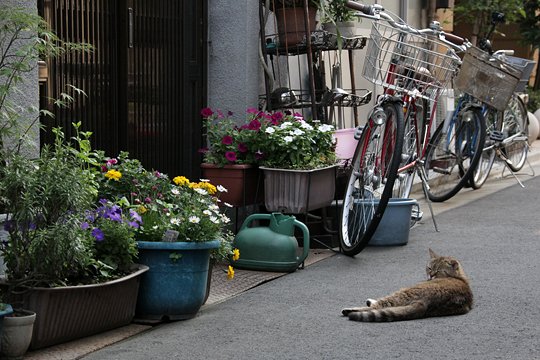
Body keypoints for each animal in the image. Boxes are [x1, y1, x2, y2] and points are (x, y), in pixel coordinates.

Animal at [342, 249, 472, 322]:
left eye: (438, 271)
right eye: (429, 268)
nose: (430, 276)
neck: (460, 278)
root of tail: (425, 303)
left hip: (402, 293)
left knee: (377, 306)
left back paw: (350, 310)